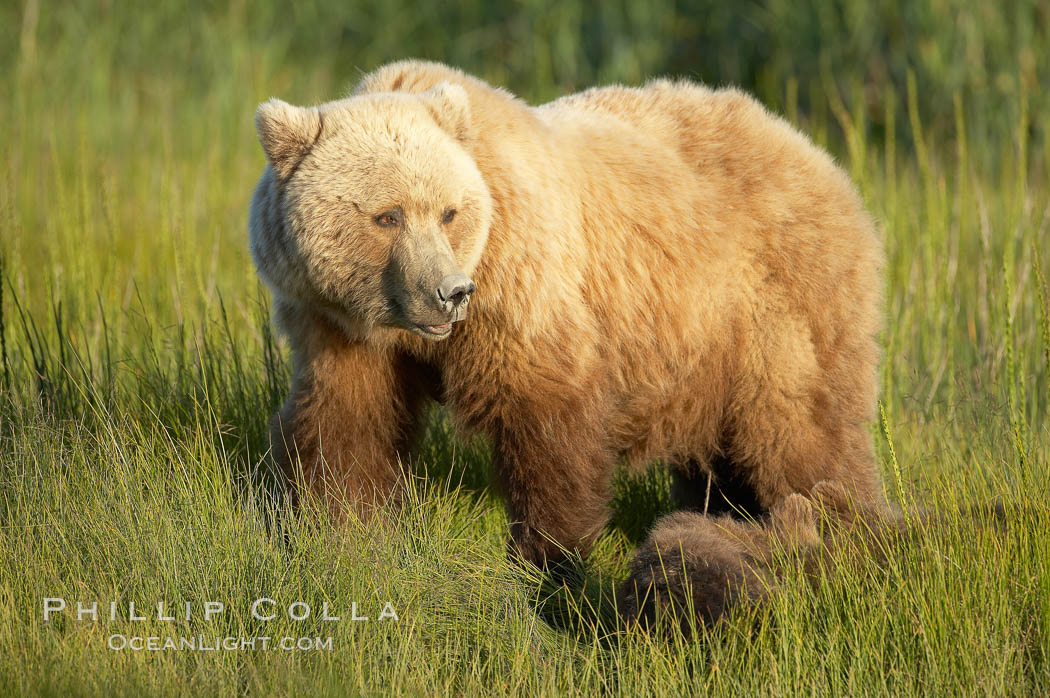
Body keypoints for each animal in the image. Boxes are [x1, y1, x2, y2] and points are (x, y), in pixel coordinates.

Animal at [251, 61, 886, 621]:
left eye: (449, 212)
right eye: (388, 216)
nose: (449, 292)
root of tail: (818, 155)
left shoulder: (520, 290)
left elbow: (549, 425)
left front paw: (545, 562)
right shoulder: (339, 328)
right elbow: (347, 421)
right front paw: (340, 530)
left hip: (772, 307)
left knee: (801, 434)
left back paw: (848, 531)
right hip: (704, 356)